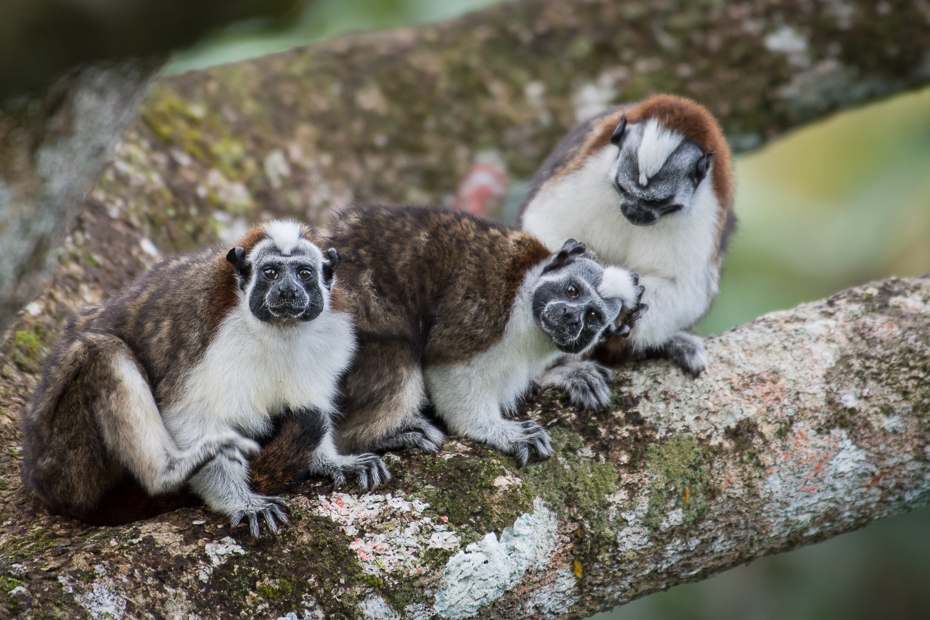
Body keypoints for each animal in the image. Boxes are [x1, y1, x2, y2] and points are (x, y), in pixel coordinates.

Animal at [20, 222, 384, 536]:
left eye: (304, 273)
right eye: (271, 273)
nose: (287, 291)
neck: (278, 331)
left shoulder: (329, 337)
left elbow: (313, 404)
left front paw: (331, 461)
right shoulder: (213, 343)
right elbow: (191, 417)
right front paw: (240, 500)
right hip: (65, 458)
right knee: (101, 352)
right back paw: (168, 474)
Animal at [516, 94, 732, 380]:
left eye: (658, 201)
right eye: (623, 188)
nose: (634, 211)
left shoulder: (705, 209)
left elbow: (684, 287)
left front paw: (625, 309)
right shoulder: (587, 169)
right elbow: (545, 226)